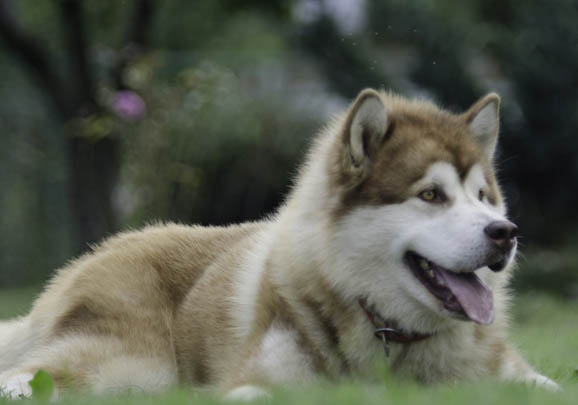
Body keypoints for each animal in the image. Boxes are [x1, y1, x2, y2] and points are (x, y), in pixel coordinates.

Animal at [0, 89, 560, 398]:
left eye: (484, 197)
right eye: (431, 195)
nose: (504, 232)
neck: (391, 335)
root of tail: (96, 253)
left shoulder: (514, 375)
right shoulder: (253, 382)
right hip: (138, 366)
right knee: (30, 373)